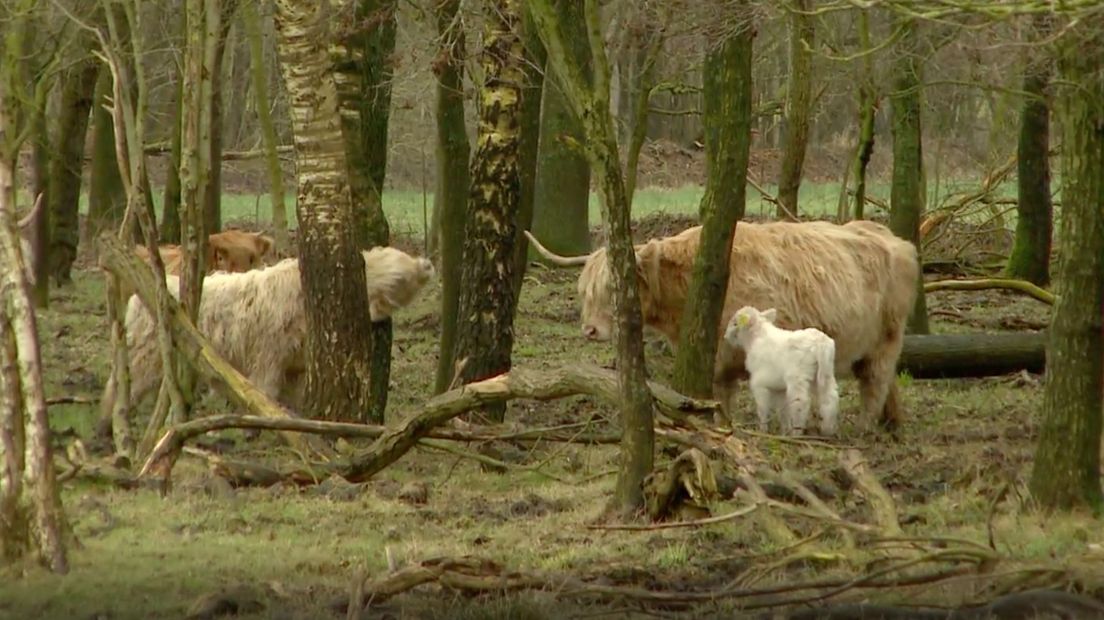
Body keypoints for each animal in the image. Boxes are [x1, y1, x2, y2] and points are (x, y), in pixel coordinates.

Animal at [100, 246, 434, 419]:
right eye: (397, 278)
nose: (427, 264)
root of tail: (137, 298)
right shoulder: (268, 357)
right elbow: (265, 392)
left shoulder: (294, 366)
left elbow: (292, 398)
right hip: (146, 355)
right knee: (121, 383)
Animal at [719, 304, 839, 434]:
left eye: (735, 323)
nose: (725, 336)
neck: (756, 337)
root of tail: (820, 343)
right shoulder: (779, 387)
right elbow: (782, 409)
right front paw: (784, 431)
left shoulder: (759, 383)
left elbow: (762, 408)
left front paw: (763, 431)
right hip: (825, 372)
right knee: (830, 398)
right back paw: (828, 430)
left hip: (797, 376)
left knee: (800, 401)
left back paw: (797, 432)